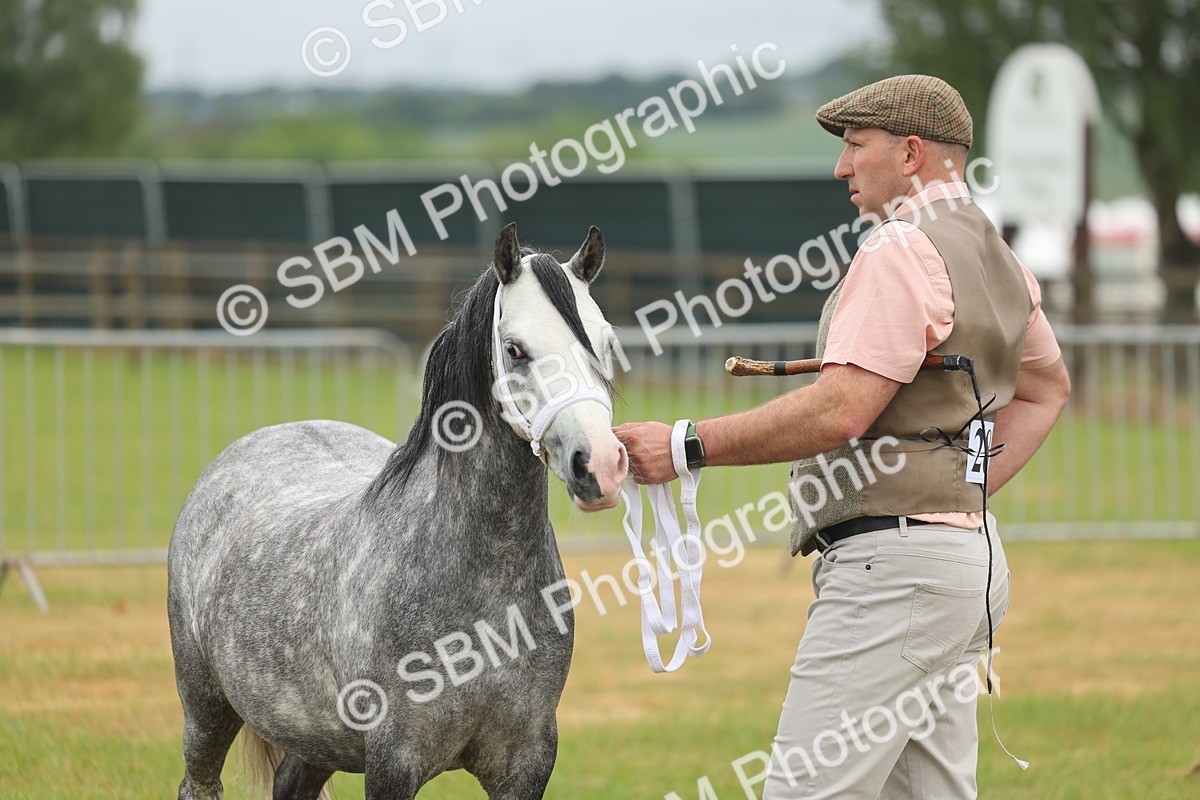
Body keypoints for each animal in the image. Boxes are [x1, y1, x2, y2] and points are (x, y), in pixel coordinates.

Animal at [168, 223, 628, 800]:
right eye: (515, 349)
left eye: (606, 343)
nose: (601, 464)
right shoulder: (393, 761)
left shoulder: (527, 762)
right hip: (205, 711)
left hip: (314, 740)